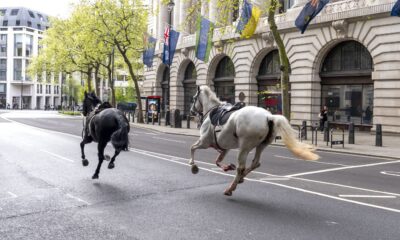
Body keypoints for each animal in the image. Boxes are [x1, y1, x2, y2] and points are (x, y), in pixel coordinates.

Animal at [190, 85, 318, 196]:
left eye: (194, 98)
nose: (191, 111)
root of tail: (269, 117)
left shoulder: (204, 142)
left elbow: (192, 148)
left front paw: (193, 166)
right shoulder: (225, 148)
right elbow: (217, 161)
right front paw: (227, 167)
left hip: (244, 147)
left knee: (241, 167)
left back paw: (230, 188)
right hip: (261, 145)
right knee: (255, 163)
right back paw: (240, 179)